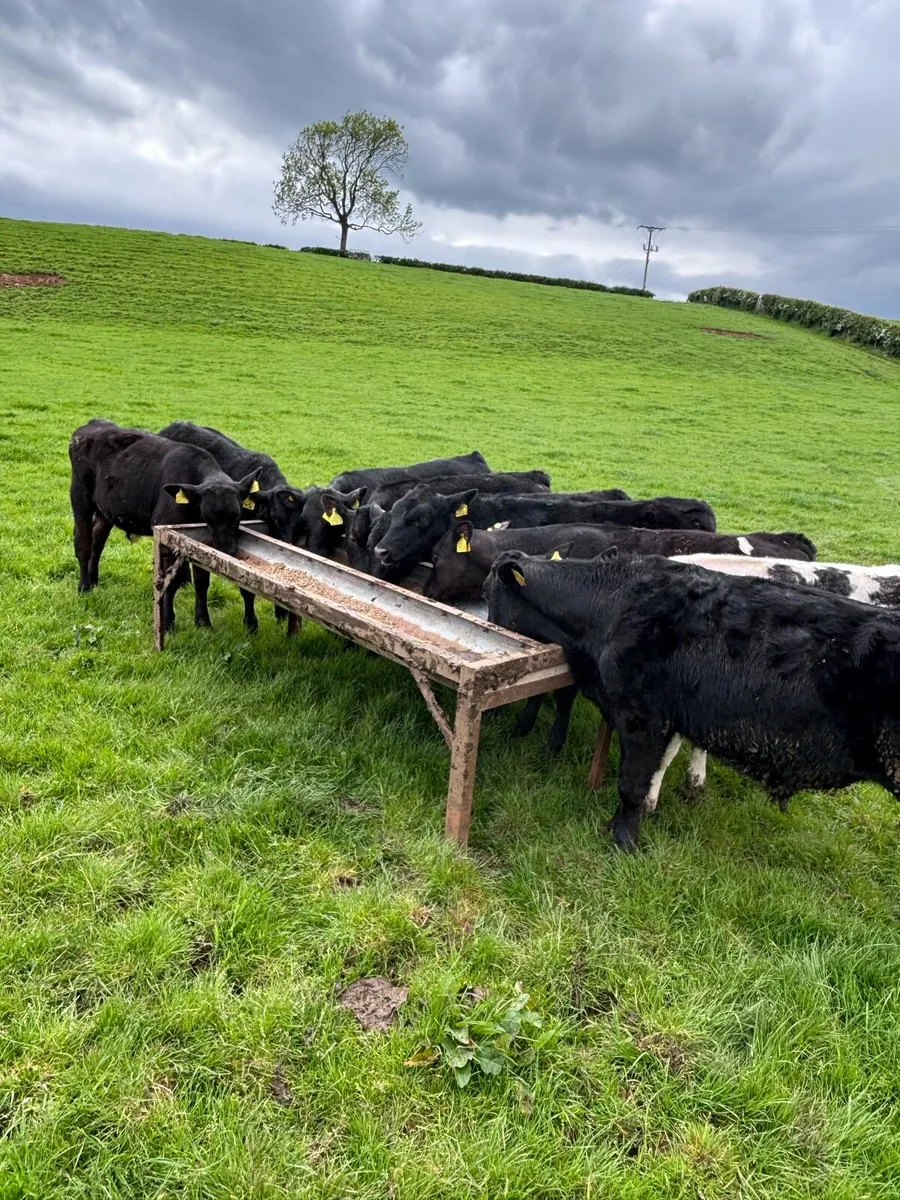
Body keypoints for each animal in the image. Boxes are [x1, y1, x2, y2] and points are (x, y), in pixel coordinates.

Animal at [69, 419, 259, 630]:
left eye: (238, 516)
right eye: (207, 517)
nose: (226, 550)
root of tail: (92, 424)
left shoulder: (200, 544)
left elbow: (201, 580)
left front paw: (203, 621)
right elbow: (170, 581)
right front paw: (168, 621)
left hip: (105, 510)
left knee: (98, 540)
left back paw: (93, 579)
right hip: (80, 497)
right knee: (83, 543)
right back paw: (84, 586)